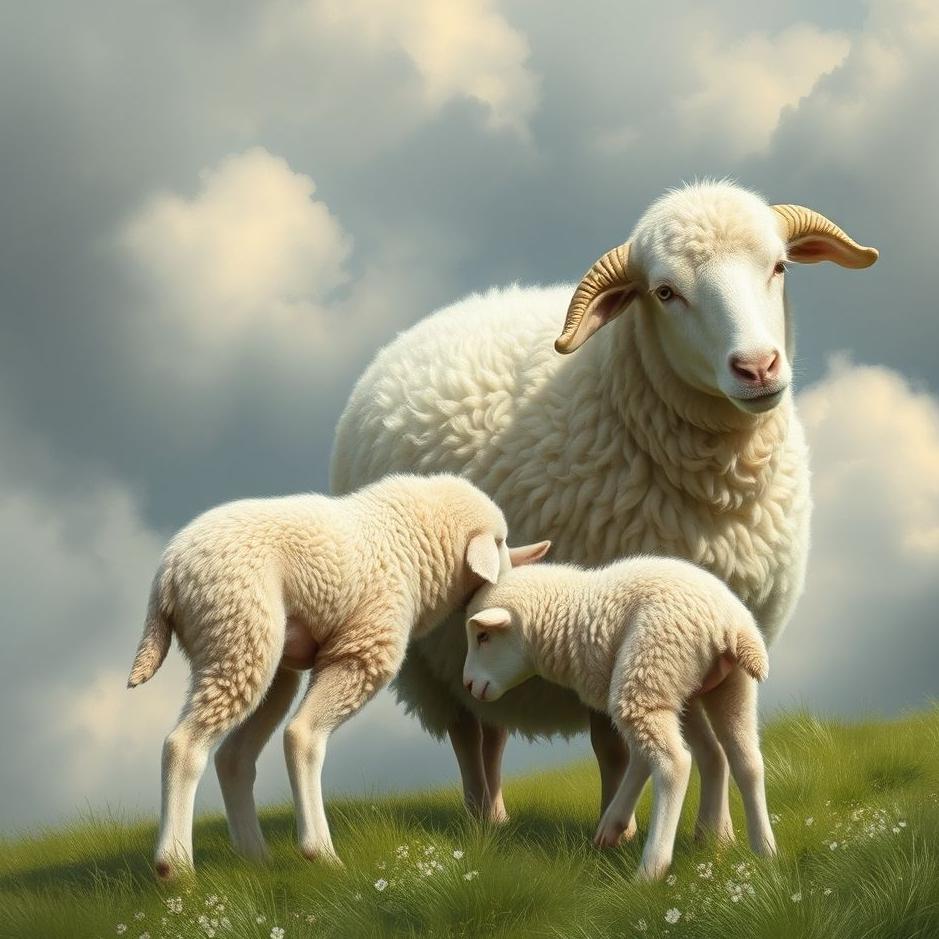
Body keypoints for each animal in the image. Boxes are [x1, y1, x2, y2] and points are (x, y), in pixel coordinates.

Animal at [126, 472, 549, 879]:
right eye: (500, 543)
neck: (411, 544)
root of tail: (166, 575)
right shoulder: (360, 649)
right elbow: (304, 735)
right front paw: (318, 853)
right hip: (236, 631)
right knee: (187, 745)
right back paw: (177, 867)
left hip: (265, 660)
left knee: (234, 757)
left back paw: (256, 859)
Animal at [330, 180, 878, 834]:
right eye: (665, 293)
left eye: (780, 267)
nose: (757, 367)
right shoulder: (599, 623)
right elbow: (615, 746)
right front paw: (624, 828)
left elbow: (717, 747)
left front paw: (715, 837)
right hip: (429, 662)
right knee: (467, 732)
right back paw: (482, 820)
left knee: (491, 729)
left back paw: (499, 817)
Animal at [463, 556, 776, 880]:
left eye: (483, 636)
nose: (468, 684)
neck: (568, 616)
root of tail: (731, 625)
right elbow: (640, 759)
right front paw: (613, 825)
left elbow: (638, 758)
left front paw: (616, 826)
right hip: (719, 687)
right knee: (742, 760)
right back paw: (762, 850)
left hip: (649, 668)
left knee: (675, 763)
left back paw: (651, 869)